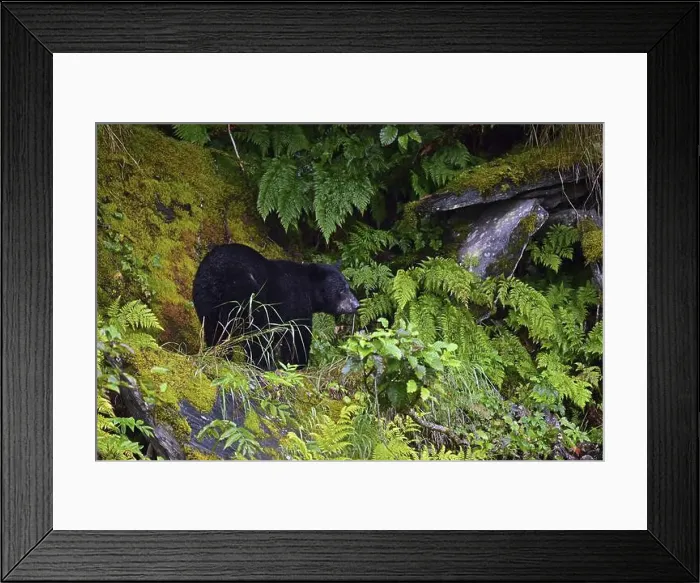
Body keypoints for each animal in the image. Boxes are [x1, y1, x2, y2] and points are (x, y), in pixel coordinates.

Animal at [192, 243, 359, 369]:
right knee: (256, 332)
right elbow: (298, 335)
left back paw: (220, 354)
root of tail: (219, 274)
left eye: (347, 286)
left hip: (205, 297)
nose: (356, 305)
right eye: (342, 289)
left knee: (214, 329)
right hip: (250, 295)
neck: (309, 290)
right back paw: (263, 365)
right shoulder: (296, 303)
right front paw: (298, 364)